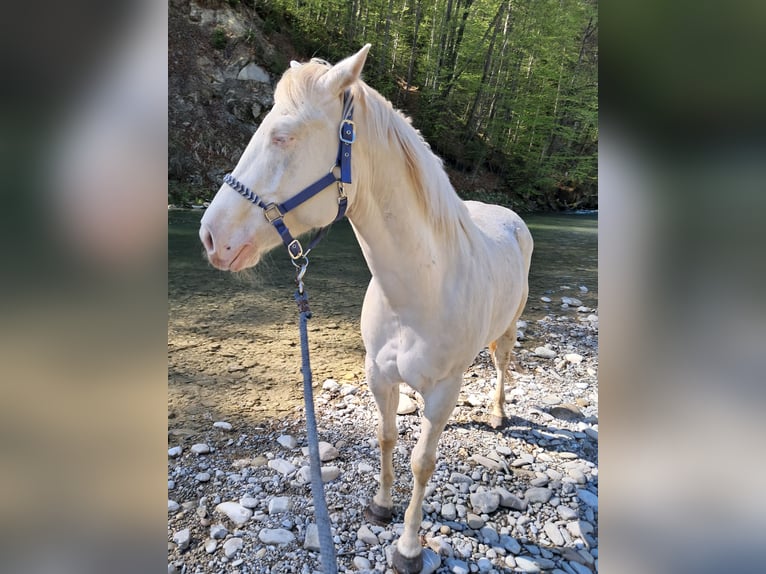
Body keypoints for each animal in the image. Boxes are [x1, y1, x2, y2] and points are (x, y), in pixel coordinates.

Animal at [199, 45, 533, 573]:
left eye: (282, 136)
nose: (211, 237)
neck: (420, 289)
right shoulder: (378, 373)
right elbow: (387, 437)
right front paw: (380, 506)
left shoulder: (445, 388)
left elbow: (423, 462)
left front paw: (409, 548)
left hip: (509, 327)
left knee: (501, 364)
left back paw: (498, 414)